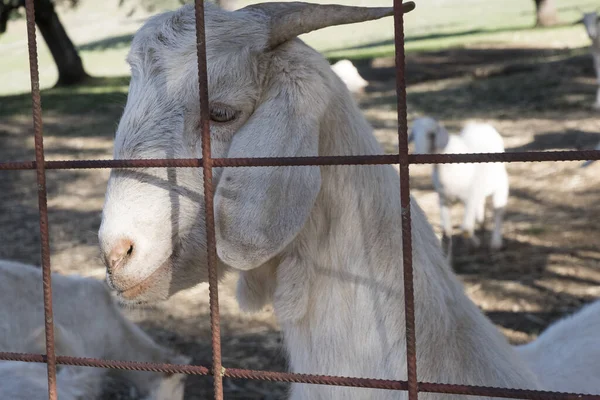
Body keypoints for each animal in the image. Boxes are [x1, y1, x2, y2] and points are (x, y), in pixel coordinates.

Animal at [408, 115, 506, 260]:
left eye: (432, 134)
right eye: (413, 135)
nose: (419, 155)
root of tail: (480, 124)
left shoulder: (469, 198)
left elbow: (465, 229)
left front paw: (475, 243)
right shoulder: (443, 200)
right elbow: (447, 232)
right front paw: (447, 259)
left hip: (500, 184)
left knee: (498, 211)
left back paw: (495, 242)